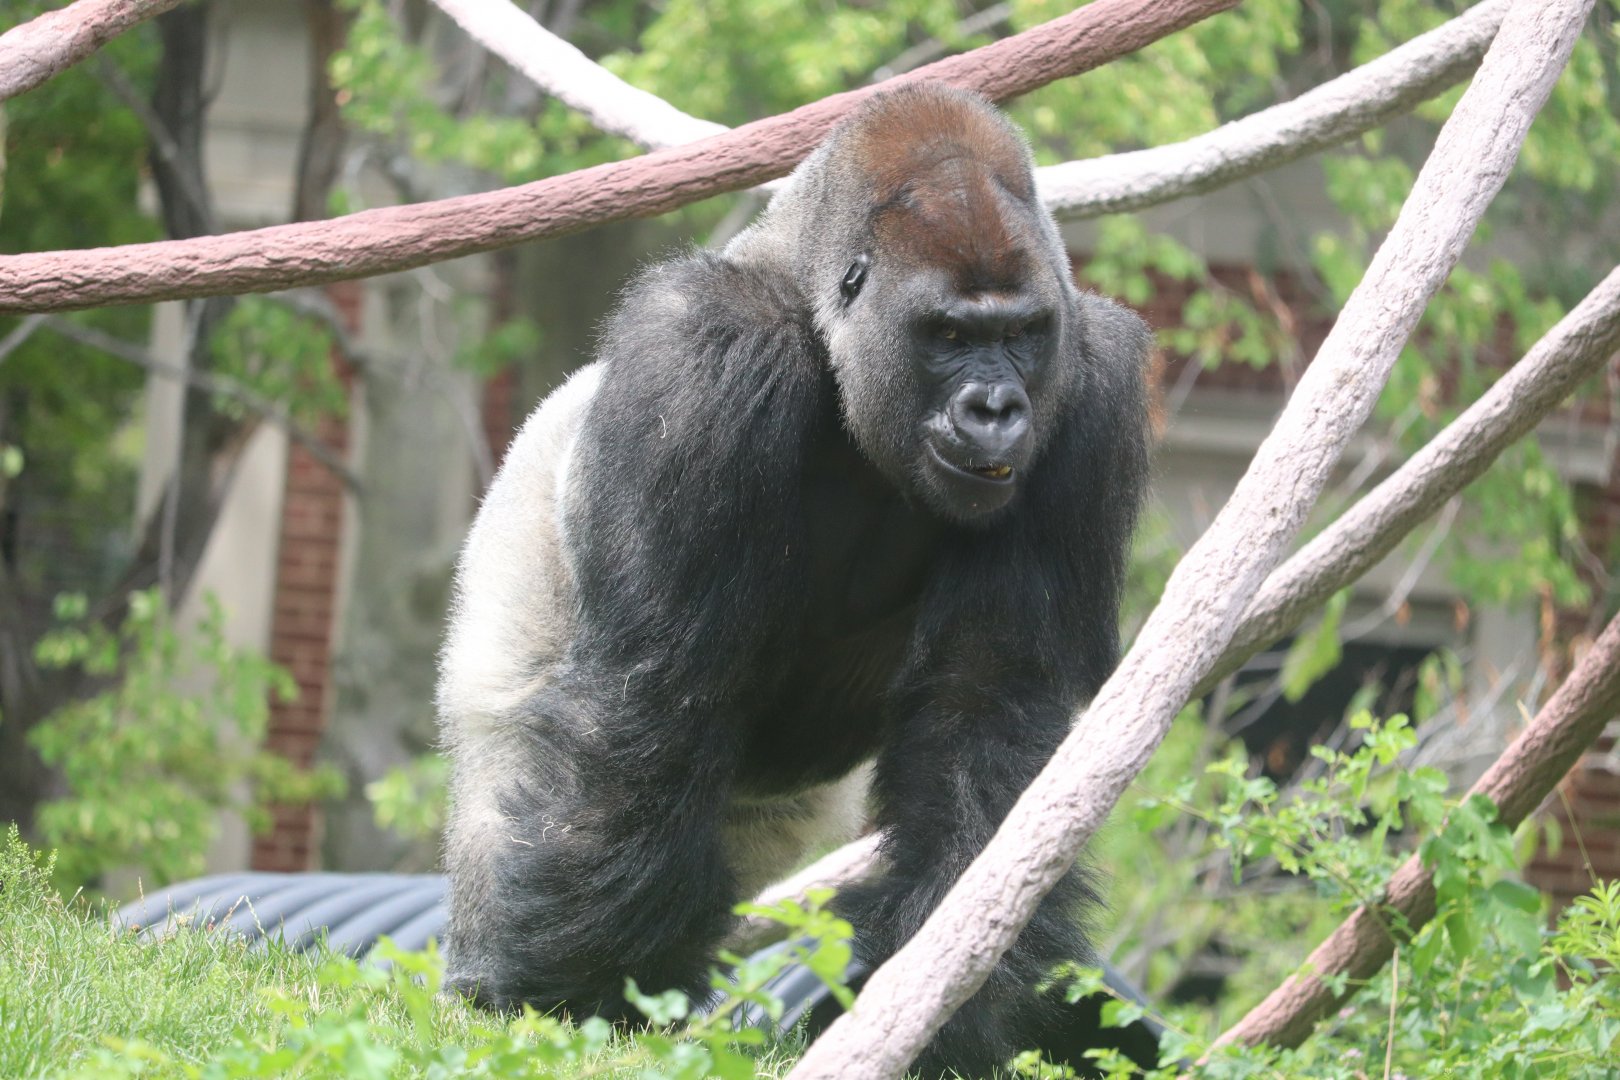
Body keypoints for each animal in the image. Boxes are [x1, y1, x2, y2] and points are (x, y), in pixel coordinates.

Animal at [437, 82, 1152, 1077]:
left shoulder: (1091, 383)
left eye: (1020, 336)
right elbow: (655, 681)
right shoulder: (708, 346)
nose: (997, 409)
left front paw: (942, 1007)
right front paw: (578, 997)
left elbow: (987, 716)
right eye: (949, 335)